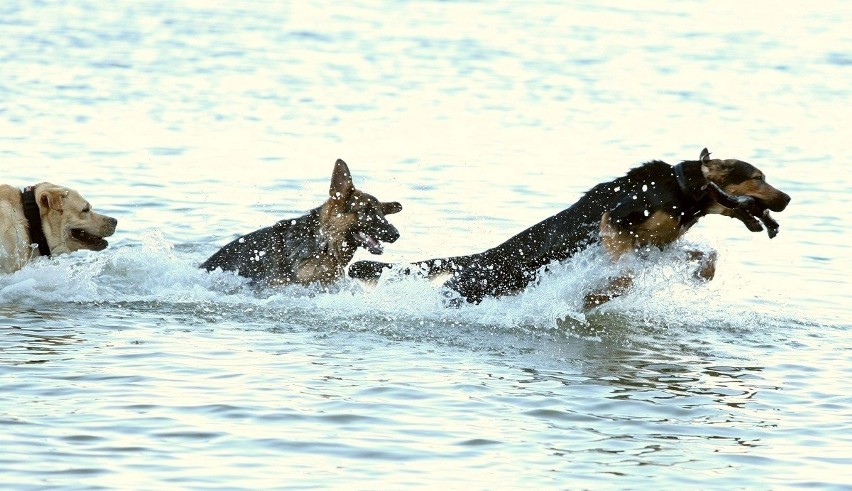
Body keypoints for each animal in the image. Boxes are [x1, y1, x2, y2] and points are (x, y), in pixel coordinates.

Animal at [348, 149, 792, 308]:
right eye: (758, 177)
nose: (787, 199)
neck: (680, 189)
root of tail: (480, 258)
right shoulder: (616, 225)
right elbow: (622, 274)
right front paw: (599, 295)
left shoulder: (656, 247)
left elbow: (706, 254)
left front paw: (704, 273)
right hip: (472, 292)